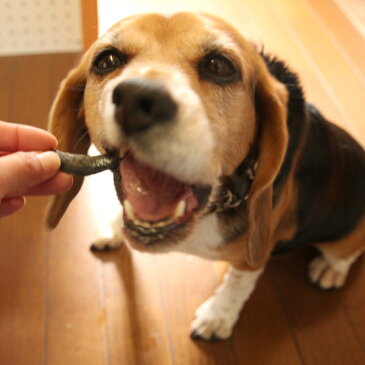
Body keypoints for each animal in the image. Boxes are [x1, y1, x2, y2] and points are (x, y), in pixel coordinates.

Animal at [46, 12, 364, 340]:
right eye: (107, 60)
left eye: (219, 65)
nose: (137, 100)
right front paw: (112, 228)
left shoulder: (254, 253)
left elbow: (238, 283)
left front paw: (217, 317)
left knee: (347, 252)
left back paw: (331, 270)